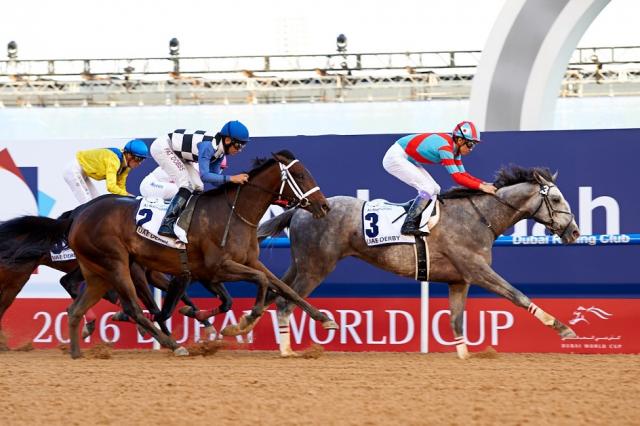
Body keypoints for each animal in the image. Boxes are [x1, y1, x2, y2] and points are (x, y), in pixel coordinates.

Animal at [33, 151, 336, 358]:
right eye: (300, 176)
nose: (324, 206)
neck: (233, 213)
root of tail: (79, 214)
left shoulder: (245, 262)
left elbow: (285, 287)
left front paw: (325, 319)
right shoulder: (219, 267)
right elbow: (261, 282)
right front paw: (241, 324)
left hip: (98, 272)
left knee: (77, 308)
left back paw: (77, 351)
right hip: (116, 263)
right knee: (133, 308)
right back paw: (173, 345)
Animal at [258, 166, 584, 360]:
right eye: (556, 199)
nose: (575, 232)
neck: (479, 217)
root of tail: (302, 209)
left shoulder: (459, 280)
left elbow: (455, 319)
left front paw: (465, 355)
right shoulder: (477, 269)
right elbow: (517, 295)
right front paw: (563, 328)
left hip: (300, 264)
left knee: (277, 290)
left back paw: (248, 324)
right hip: (316, 266)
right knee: (286, 301)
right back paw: (289, 347)